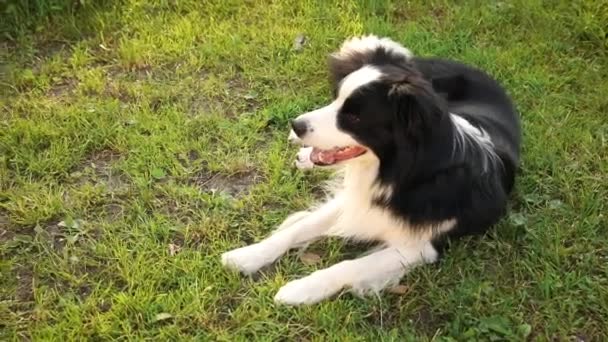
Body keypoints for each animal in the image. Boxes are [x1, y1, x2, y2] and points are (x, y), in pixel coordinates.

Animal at [221, 36, 520, 306]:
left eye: (354, 117)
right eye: (335, 99)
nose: (297, 125)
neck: (401, 174)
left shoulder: (421, 246)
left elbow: (348, 265)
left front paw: (299, 290)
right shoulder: (355, 200)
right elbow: (298, 228)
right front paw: (246, 256)